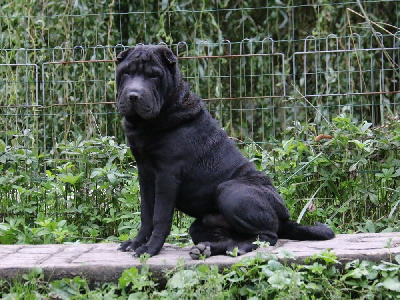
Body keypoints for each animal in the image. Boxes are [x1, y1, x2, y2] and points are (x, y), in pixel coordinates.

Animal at [115, 44, 334, 258]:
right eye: (126, 72)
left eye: (154, 76)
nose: (133, 95)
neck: (147, 124)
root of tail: (284, 217)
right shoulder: (145, 172)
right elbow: (146, 213)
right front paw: (135, 243)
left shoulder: (167, 175)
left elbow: (160, 216)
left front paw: (149, 250)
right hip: (203, 224)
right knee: (229, 238)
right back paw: (206, 248)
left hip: (232, 192)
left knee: (268, 235)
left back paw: (240, 248)